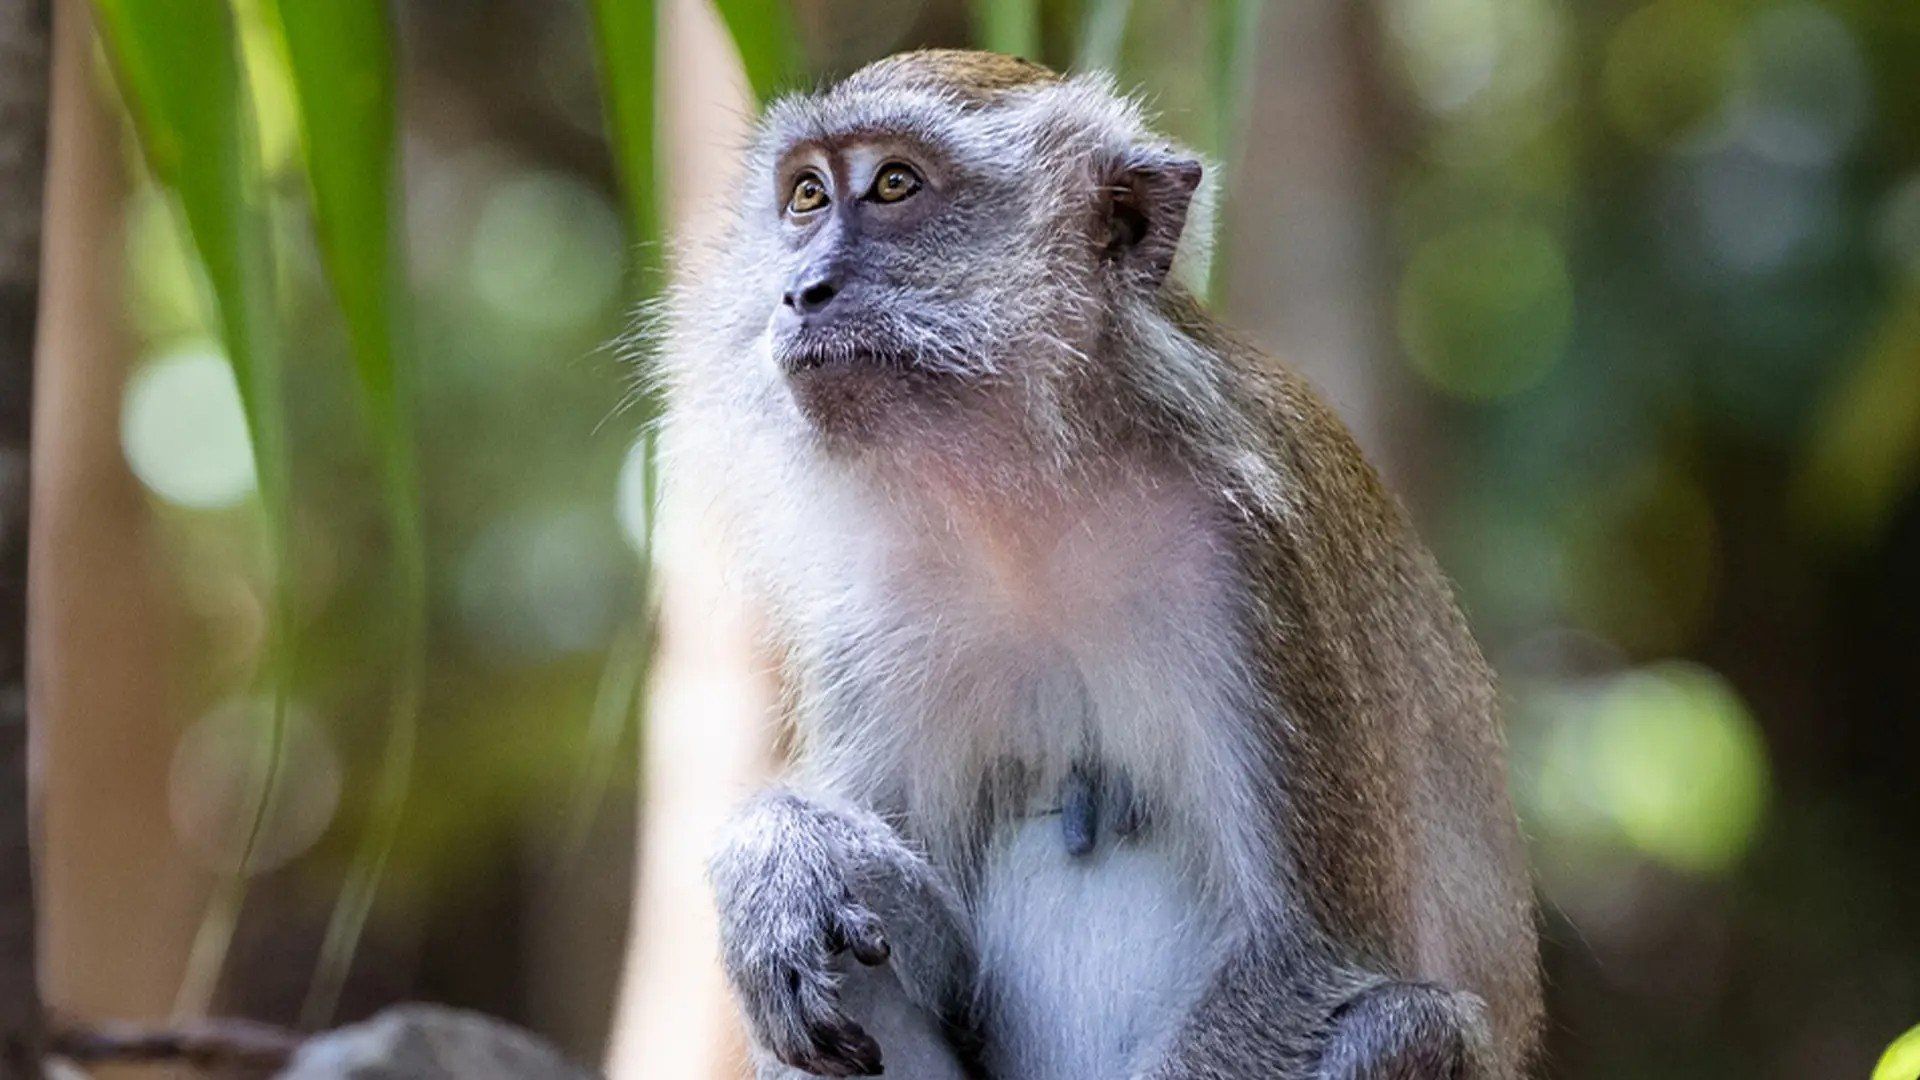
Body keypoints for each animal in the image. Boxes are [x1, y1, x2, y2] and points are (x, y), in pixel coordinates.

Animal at [659, 50, 1541, 1079]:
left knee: (1406, 1023)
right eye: (806, 195)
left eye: (893, 185)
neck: (1037, 507)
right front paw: (777, 857)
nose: (800, 289)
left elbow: (1313, 951)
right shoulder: (868, 611)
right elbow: (921, 940)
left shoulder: (1256, 558)